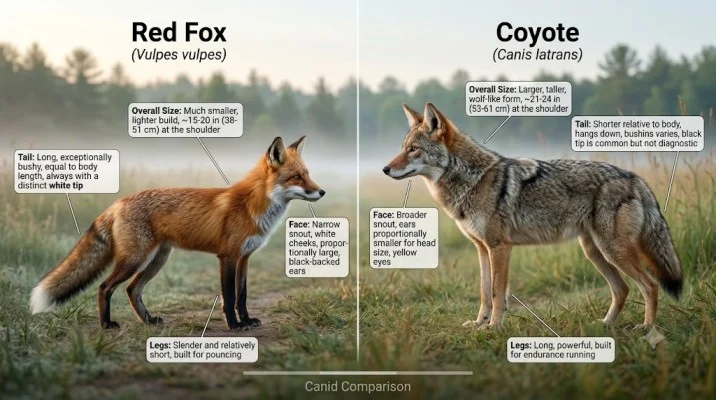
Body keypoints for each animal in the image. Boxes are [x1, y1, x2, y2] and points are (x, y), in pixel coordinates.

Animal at [30, 136, 325, 330]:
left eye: (308, 174)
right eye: (296, 177)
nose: (321, 191)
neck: (253, 206)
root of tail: (118, 202)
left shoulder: (245, 258)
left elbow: (242, 296)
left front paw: (247, 320)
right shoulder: (228, 257)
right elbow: (229, 297)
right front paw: (234, 325)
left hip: (157, 260)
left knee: (131, 289)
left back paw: (148, 321)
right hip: (135, 259)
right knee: (105, 287)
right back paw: (106, 324)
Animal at [383, 103, 683, 330]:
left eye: (413, 149)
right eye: (403, 147)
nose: (385, 169)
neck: (472, 180)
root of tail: (636, 178)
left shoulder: (499, 247)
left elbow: (497, 293)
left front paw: (493, 327)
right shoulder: (481, 248)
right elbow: (484, 292)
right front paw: (479, 324)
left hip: (613, 251)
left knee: (650, 286)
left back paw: (646, 328)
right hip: (595, 252)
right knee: (622, 290)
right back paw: (605, 325)